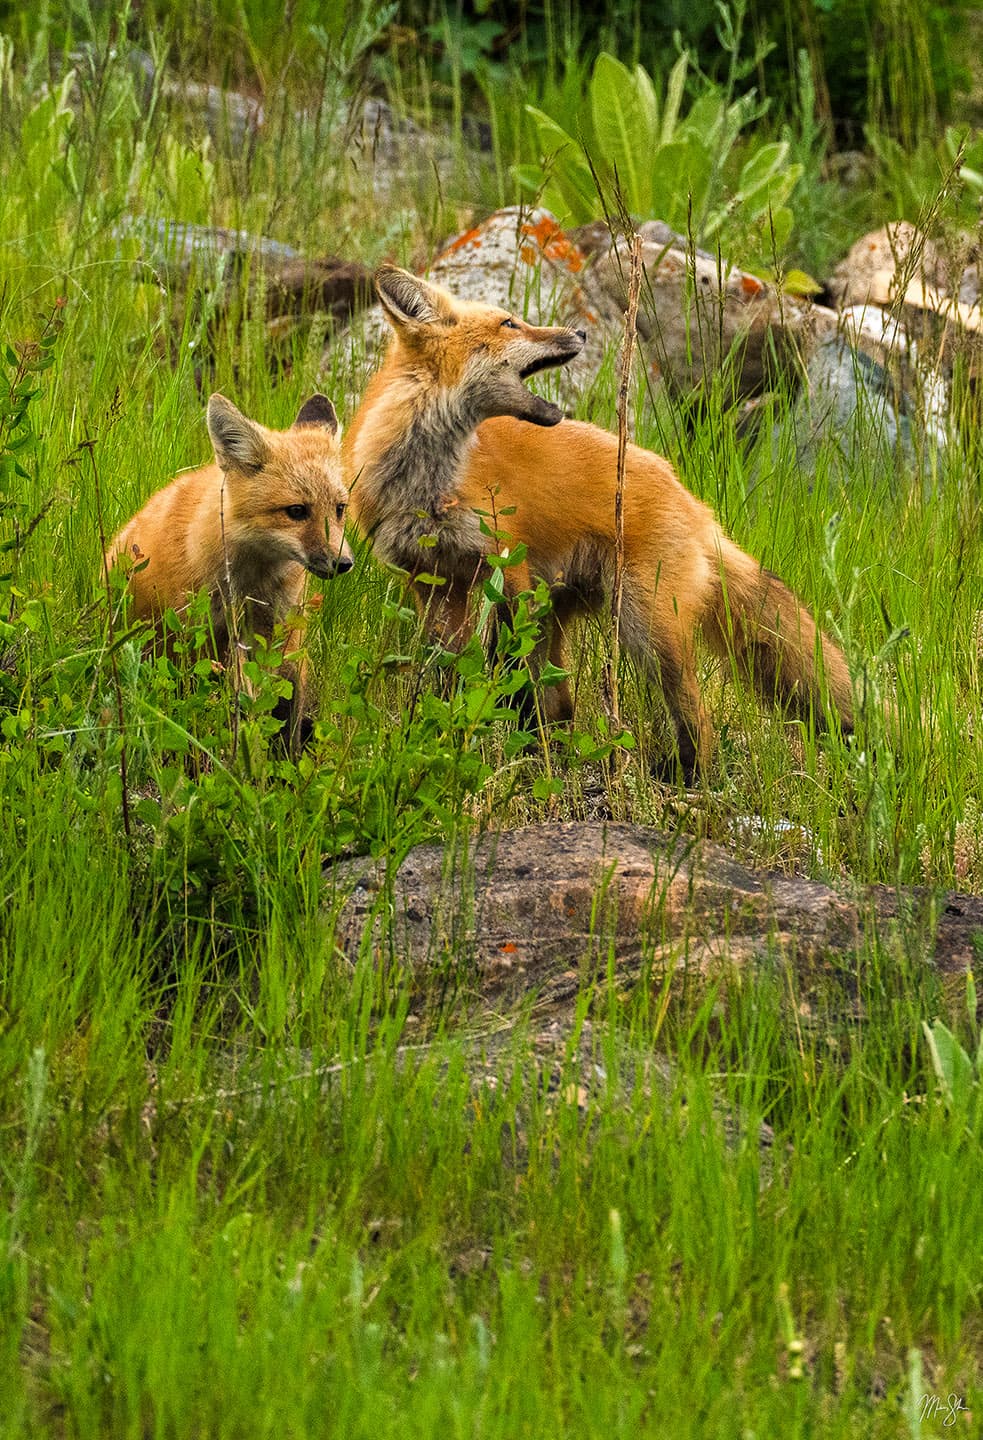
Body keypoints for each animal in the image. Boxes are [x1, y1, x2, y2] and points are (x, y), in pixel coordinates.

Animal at [109, 394, 354, 754]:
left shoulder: (275, 638)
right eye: (296, 511)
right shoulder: (205, 638)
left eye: (339, 509)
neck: (253, 584)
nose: (344, 563)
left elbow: (280, 716)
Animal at [345, 264, 852, 783]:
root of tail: (692, 500)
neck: (425, 483)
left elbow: (508, 671)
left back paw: (687, 777)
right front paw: (437, 738)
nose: (581, 332)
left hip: (647, 628)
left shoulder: (507, 568)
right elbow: (445, 675)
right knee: (561, 703)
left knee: (695, 712)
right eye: (510, 323)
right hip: (569, 614)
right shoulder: (432, 582)